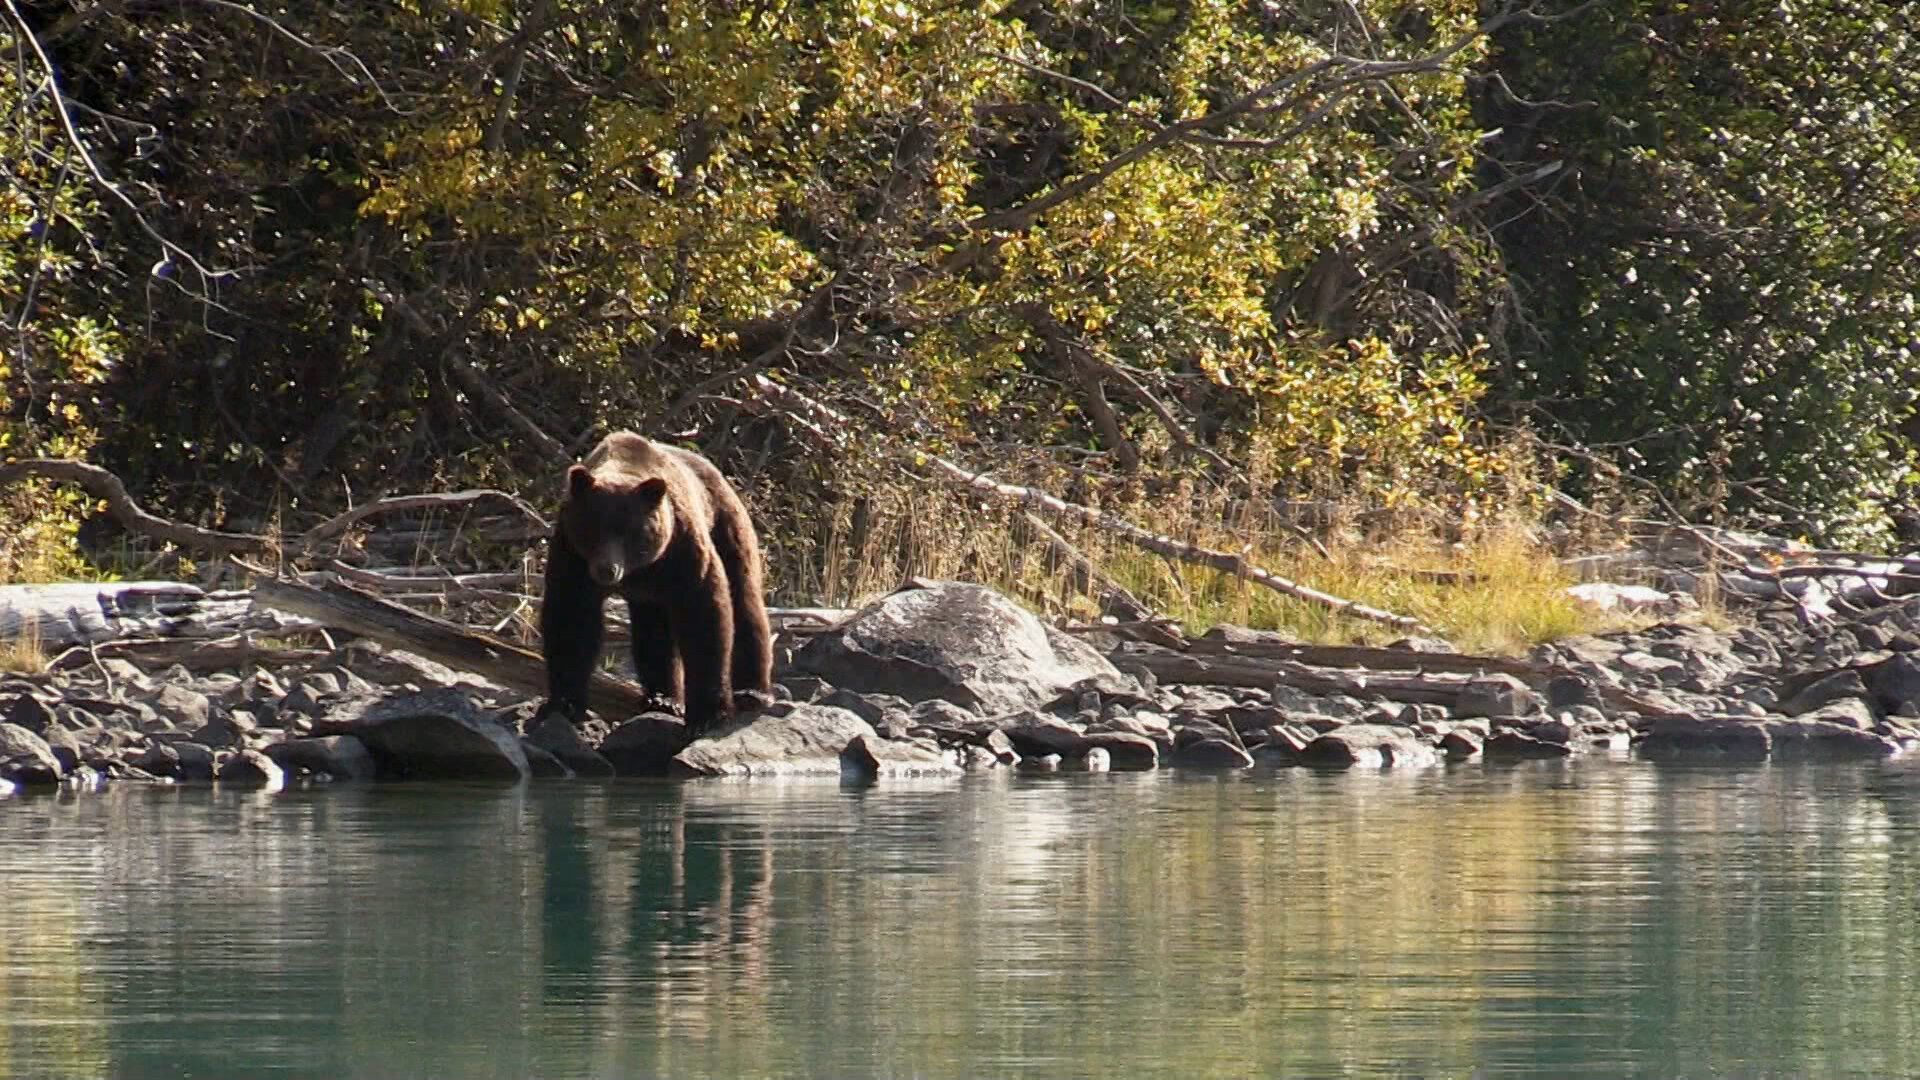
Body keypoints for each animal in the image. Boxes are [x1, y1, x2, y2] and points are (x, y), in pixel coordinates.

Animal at [539, 431, 773, 735]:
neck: (639, 569)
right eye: (592, 526)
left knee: (744, 600)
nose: (606, 570)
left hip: (726, 525)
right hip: (649, 596)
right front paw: (564, 703)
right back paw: (663, 698)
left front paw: (708, 714)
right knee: (653, 632)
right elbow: (571, 618)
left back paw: (752, 692)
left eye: (629, 531)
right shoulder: (572, 556)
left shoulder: (683, 552)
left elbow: (704, 618)